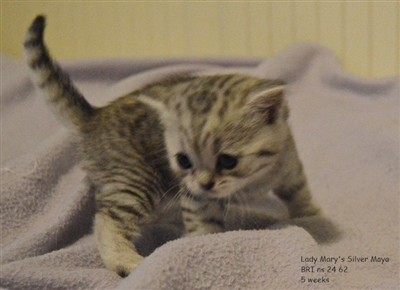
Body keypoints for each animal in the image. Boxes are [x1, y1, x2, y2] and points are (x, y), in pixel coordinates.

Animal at [25, 15, 320, 276]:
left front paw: (312, 218)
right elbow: (204, 227)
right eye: (183, 161)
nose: (205, 184)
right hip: (134, 179)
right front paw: (212, 246)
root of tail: (95, 116)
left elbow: (301, 194)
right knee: (106, 220)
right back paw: (125, 260)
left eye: (228, 161)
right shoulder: (194, 198)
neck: (254, 180)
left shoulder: (290, 166)